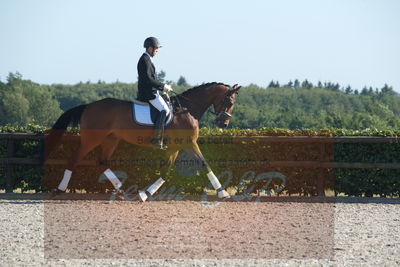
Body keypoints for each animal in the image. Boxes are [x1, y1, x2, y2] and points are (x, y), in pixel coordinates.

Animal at [46, 82, 241, 202]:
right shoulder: (189, 143)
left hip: (111, 140)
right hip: (92, 139)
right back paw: (59, 190)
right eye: (230, 101)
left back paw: (122, 191)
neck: (187, 110)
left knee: (102, 161)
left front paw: (145, 194)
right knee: (74, 159)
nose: (223, 124)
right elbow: (204, 164)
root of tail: (88, 106)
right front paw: (222, 193)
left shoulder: (175, 146)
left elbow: (166, 171)